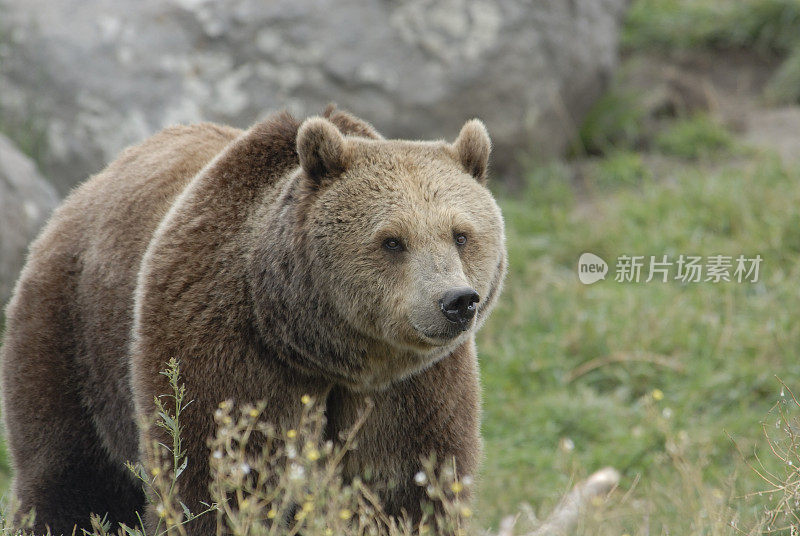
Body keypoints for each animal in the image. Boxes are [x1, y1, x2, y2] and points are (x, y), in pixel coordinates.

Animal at [1, 107, 506, 532]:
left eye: (461, 234)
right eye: (392, 241)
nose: (456, 301)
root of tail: (84, 190)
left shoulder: (412, 388)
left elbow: (409, 485)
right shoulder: (226, 343)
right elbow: (218, 475)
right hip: (74, 333)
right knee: (71, 474)